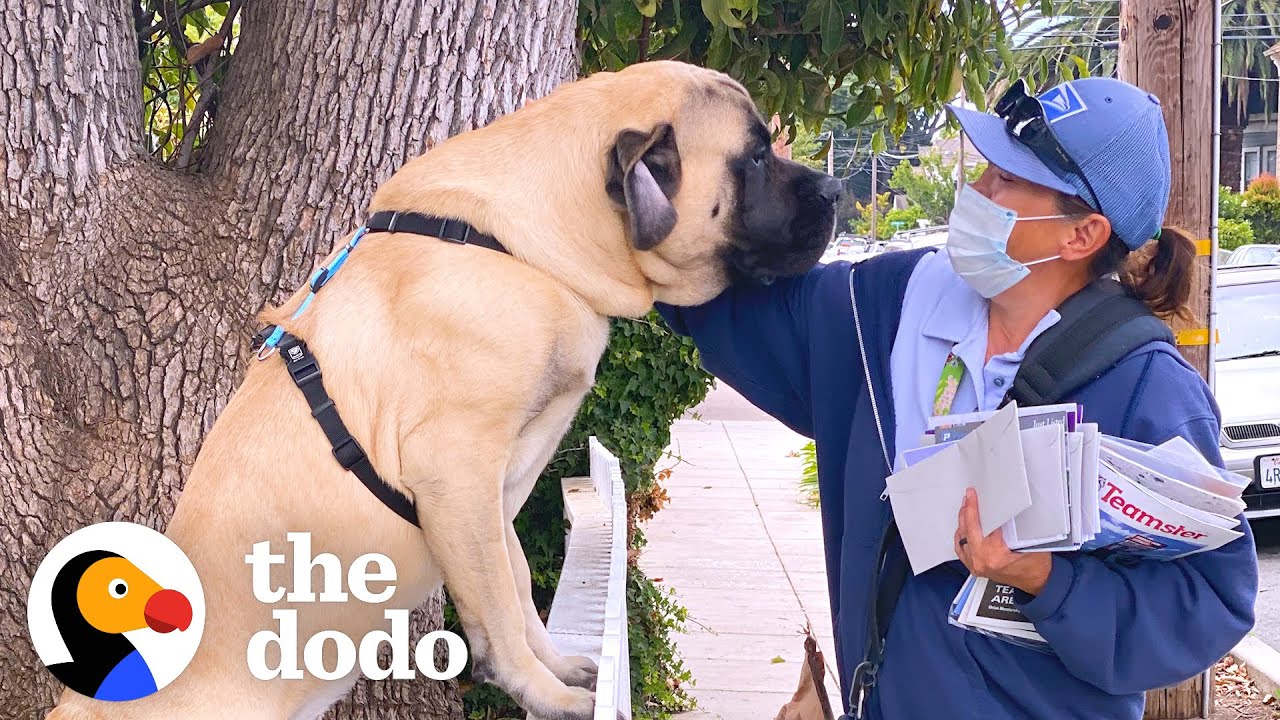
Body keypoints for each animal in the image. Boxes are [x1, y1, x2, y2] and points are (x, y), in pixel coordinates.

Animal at [52, 63, 839, 717]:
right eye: (757, 157)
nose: (834, 190)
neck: (528, 248)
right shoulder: (458, 469)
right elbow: (497, 600)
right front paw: (546, 693)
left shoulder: (495, 488)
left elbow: (514, 581)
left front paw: (556, 667)